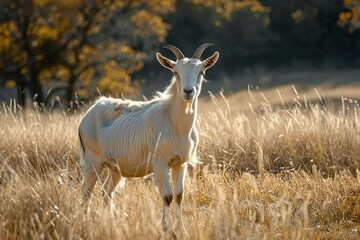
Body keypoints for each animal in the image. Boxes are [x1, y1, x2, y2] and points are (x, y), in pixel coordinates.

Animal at [79, 43, 219, 231]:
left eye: (201, 72)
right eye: (176, 72)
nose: (188, 91)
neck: (175, 124)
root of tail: (89, 114)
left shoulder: (180, 163)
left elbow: (179, 195)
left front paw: (181, 229)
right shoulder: (160, 164)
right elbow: (167, 196)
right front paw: (166, 228)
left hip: (115, 167)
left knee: (106, 191)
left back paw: (114, 222)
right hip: (93, 161)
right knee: (87, 190)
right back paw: (85, 222)